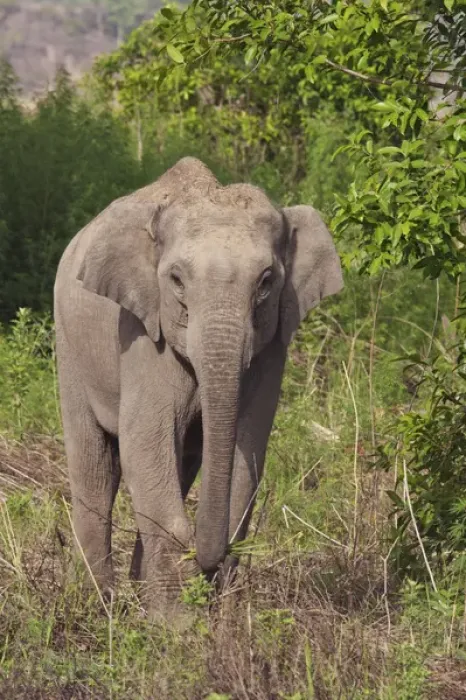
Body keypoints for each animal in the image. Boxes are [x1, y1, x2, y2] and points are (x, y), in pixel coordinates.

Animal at [54, 157, 343, 622]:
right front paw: (178, 624)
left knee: (181, 465)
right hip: (69, 345)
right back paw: (101, 605)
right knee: (95, 468)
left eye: (266, 281)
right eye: (175, 279)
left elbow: (248, 450)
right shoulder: (140, 331)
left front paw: (208, 611)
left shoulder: (272, 346)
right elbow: (145, 445)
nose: (205, 561)